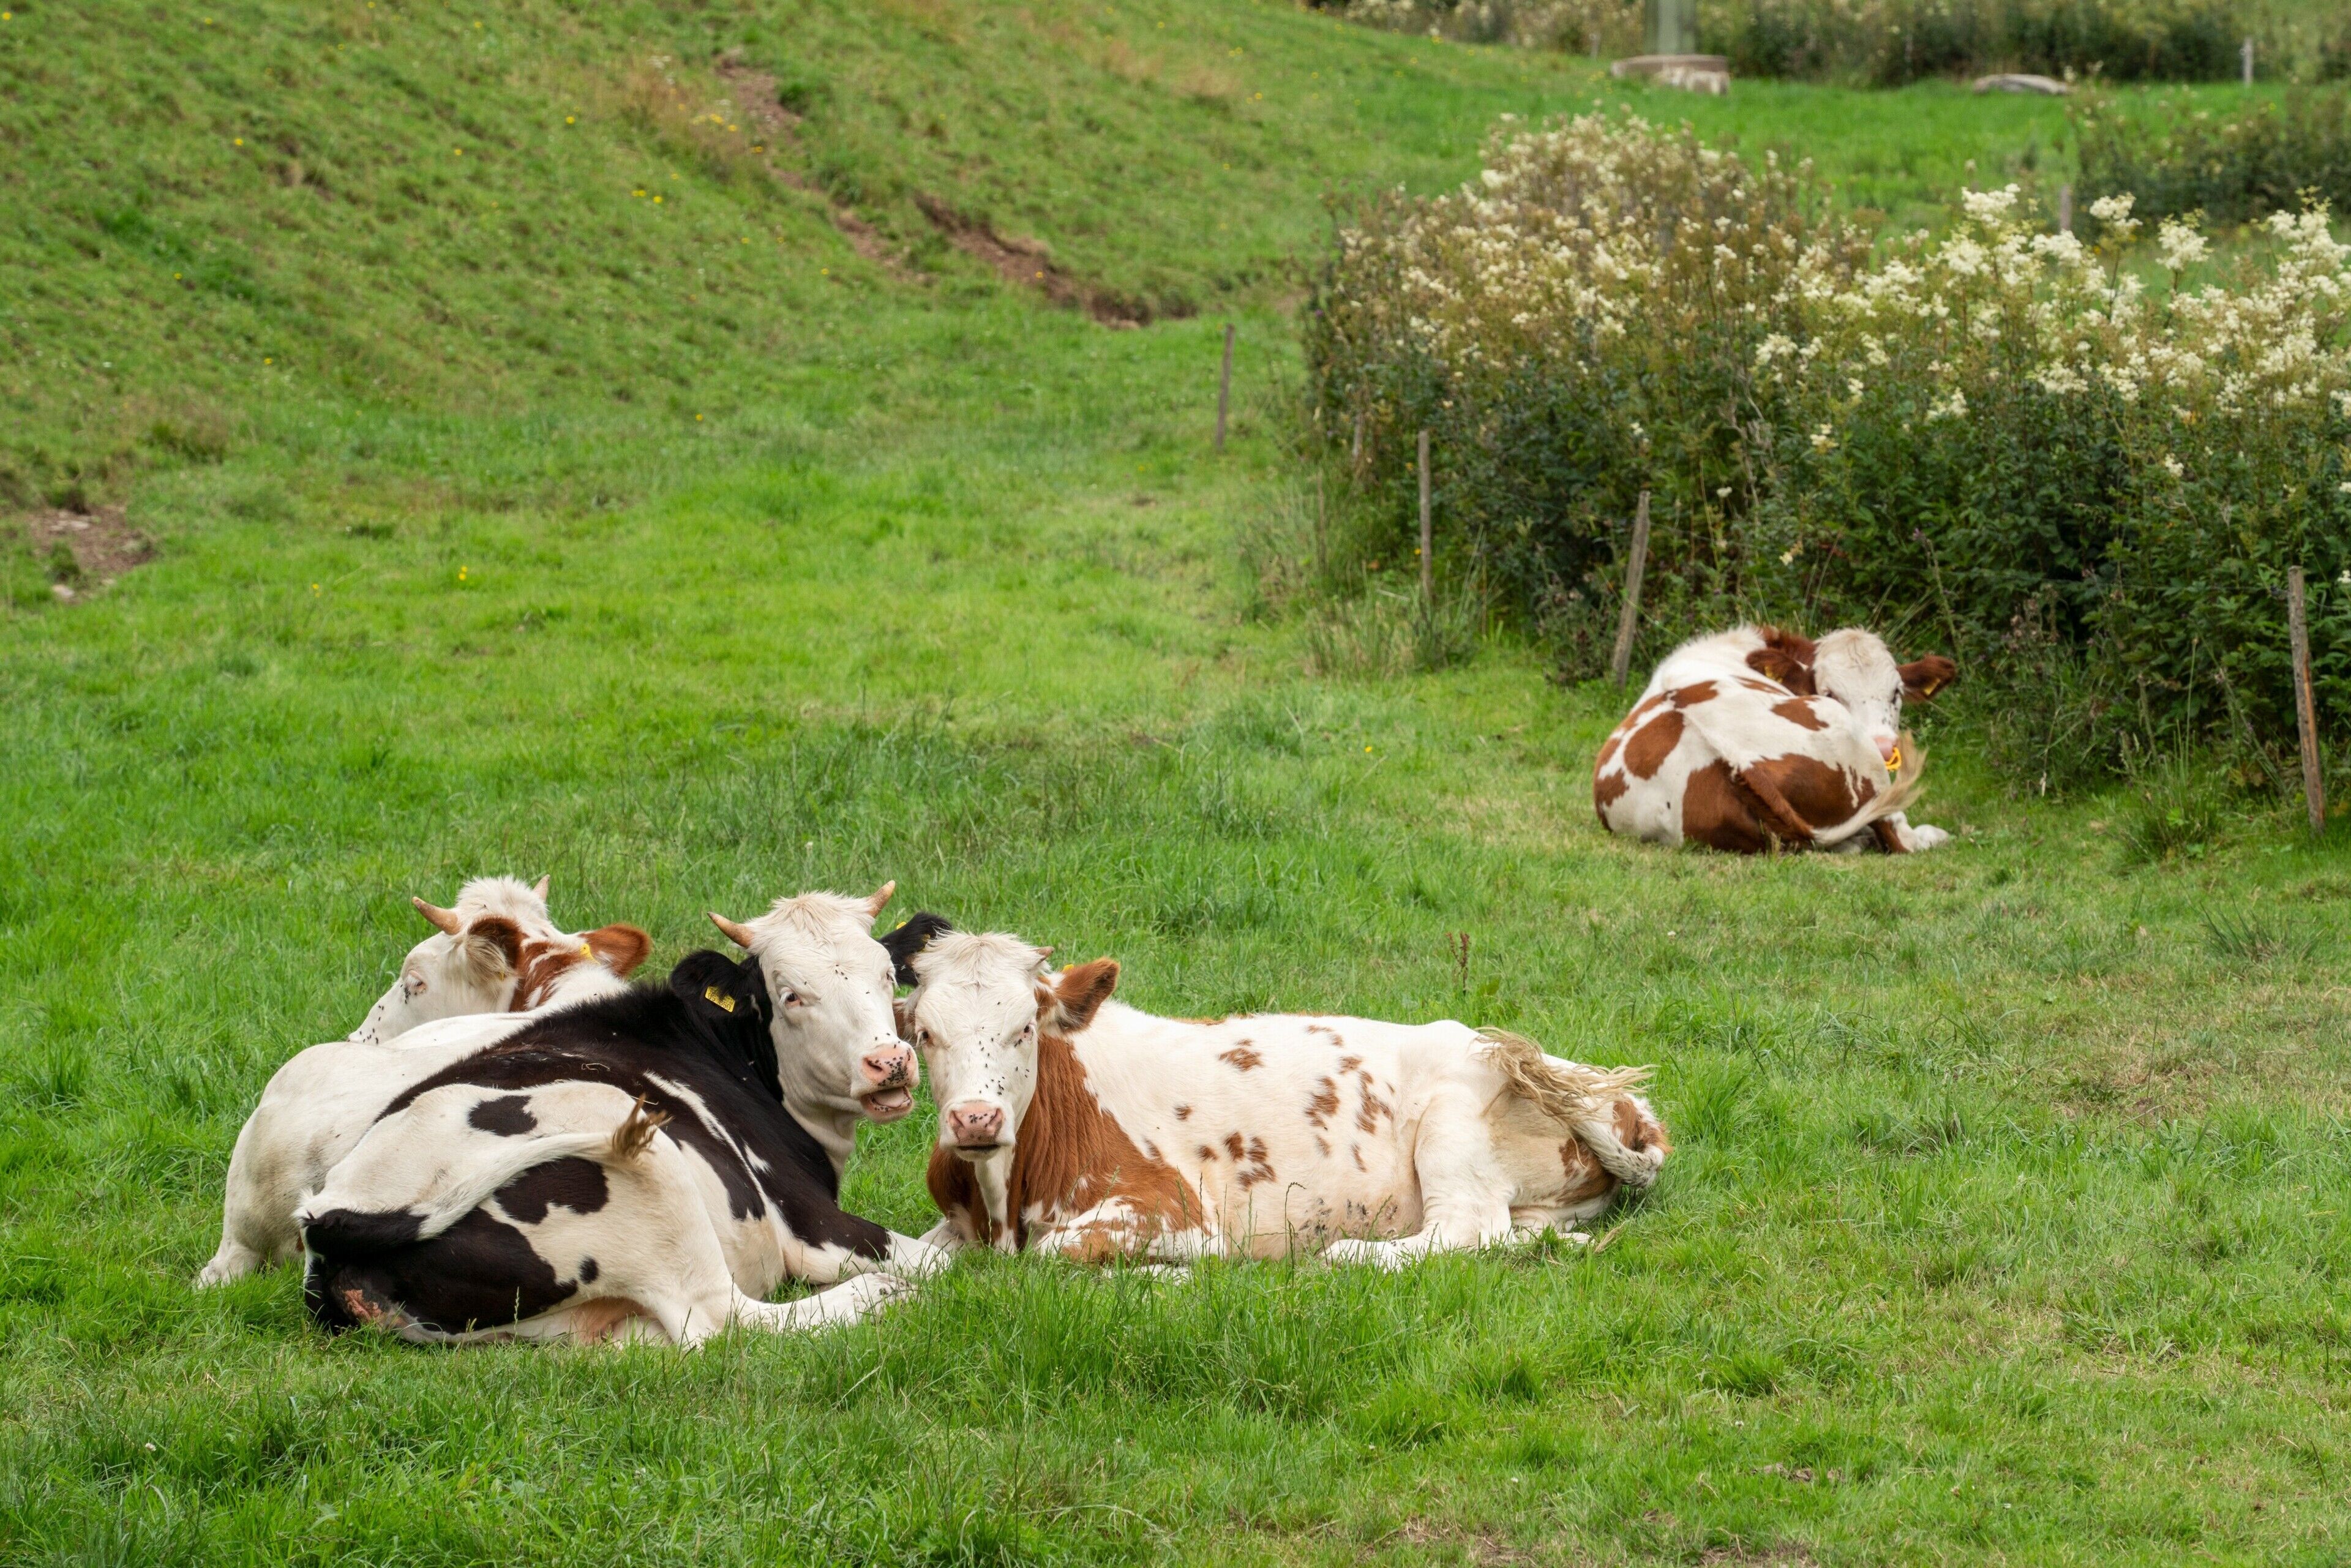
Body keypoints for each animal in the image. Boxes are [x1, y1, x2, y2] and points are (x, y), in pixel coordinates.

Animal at [293, 941, 933, 1344]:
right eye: (790, 994)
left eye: (886, 974)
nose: (890, 1060)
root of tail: (334, 1216)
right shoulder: (808, 1221)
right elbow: (936, 1254)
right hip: (645, 1164)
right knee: (724, 1319)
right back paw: (880, 1294)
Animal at [900, 929, 1669, 1268]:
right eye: (926, 1033)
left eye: (1024, 1027)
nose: (975, 1117)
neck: (1003, 1197)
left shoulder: (1170, 1207)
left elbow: (1054, 1252)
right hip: (1540, 1202)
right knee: (1512, 1233)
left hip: (1453, 1129)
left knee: (1462, 1230)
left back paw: (1345, 1253)